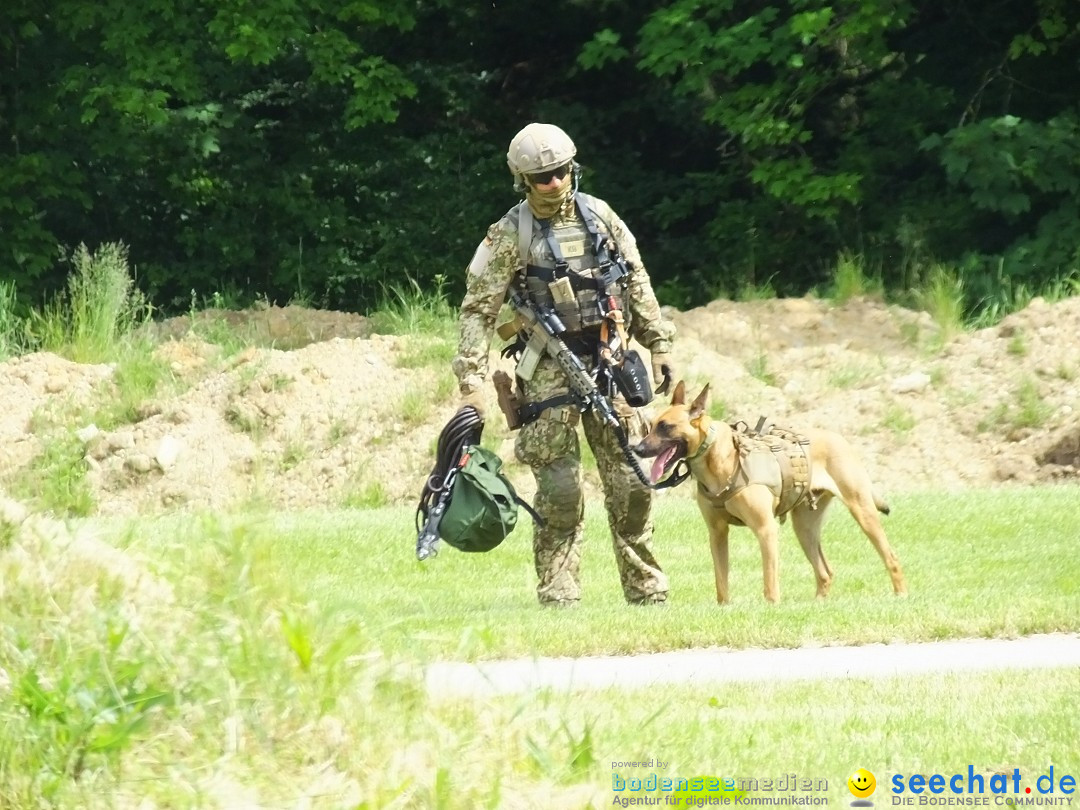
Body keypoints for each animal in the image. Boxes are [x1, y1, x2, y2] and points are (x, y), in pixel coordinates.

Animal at [635, 382, 907, 604]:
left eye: (666, 427)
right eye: (651, 426)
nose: (637, 449)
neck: (722, 460)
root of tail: (840, 439)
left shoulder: (766, 530)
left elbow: (769, 579)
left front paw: (771, 607)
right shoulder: (717, 533)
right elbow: (721, 581)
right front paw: (724, 608)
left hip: (862, 511)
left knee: (891, 557)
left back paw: (900, 594)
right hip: (805, 528)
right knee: (825, 571)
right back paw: (818, 604)